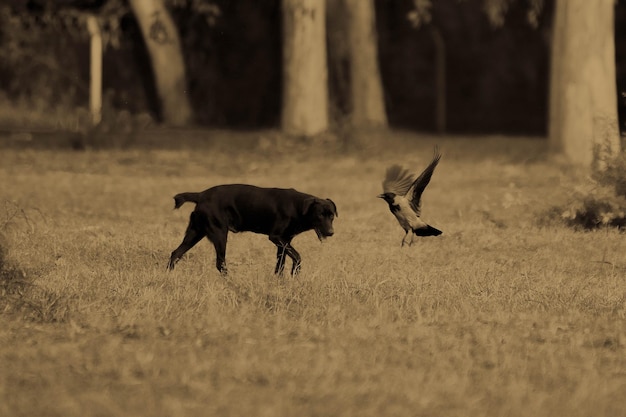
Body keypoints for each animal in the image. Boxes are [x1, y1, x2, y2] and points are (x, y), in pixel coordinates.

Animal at [167, 184, 336, 274]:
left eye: (332, 215)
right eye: (320, 215)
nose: (331, 233)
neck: (298, 207)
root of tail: (201, 195)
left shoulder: (284, 241)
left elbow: (280, 265)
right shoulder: (276, 237)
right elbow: (297, 256)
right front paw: (295, 271)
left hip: (196, 232)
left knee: (176, 253)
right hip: (220, 234)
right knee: (220, 263)